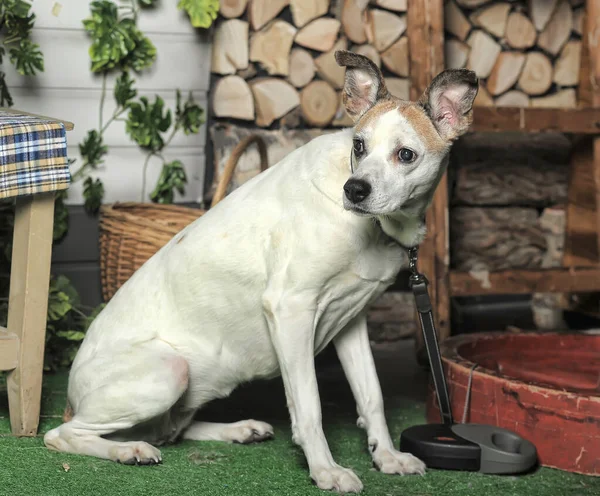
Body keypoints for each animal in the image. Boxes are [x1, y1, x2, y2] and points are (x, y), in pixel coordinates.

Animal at [44, 50, 478, 492]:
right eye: (359, 145)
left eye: (405, 154)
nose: (354, 190)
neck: (371, 228)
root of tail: (70, 400)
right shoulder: (290, 311)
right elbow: (309, 406)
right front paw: (325, 470)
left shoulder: (351, 321)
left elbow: (371, 395)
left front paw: (386, 457)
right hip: (169, 371)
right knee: (65, 436)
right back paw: (127, 450)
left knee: (169, 431)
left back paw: (238, 429)